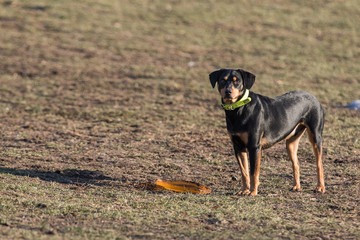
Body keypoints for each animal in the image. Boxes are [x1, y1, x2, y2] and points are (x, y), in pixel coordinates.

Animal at [210, 68, 324, 196]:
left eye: (237, 81)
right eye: (222, 80)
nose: (228, 92)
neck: (239, 109)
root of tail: (313, 96)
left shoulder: (254, 147)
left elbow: (253, 172)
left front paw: (253, 192)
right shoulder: (238, 147)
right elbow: (244, 172)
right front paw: (244, 190)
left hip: (315, 136)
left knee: (319, 164)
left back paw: (320, 187)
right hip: (291, 143)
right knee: (296, 164)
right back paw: (296, 186)